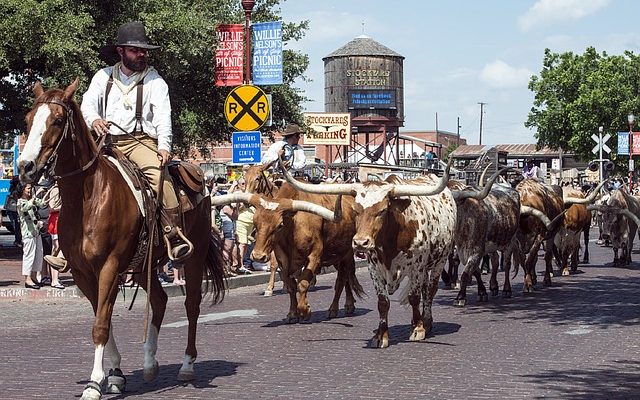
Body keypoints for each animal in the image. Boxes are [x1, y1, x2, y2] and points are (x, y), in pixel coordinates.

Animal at [18, 79, 225, 398]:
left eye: (57, 120)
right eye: (28, 120)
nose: (25, 167)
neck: (88, 197)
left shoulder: (110, 267)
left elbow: (101, 325)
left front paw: (94, 383)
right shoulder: (83, 273)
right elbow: (102, 319)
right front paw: (114, 375)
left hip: (194, 255)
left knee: (192, 305)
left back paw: (187, 366)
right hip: (144, 265)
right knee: (160, 300)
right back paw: (150, 364)